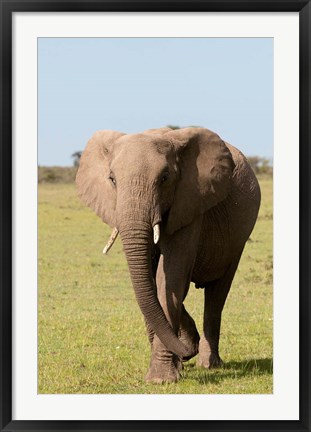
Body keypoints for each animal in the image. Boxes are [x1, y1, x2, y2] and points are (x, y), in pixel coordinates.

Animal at [77, 126, 262, 384]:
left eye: (164, 178)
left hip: (237, 239)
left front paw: (161, 379)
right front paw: (179, 361)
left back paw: (209, 364)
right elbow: (154, 282)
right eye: (112, 179)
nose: (185, 353)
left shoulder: (190, 202)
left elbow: (170, 278)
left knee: (217, 294)